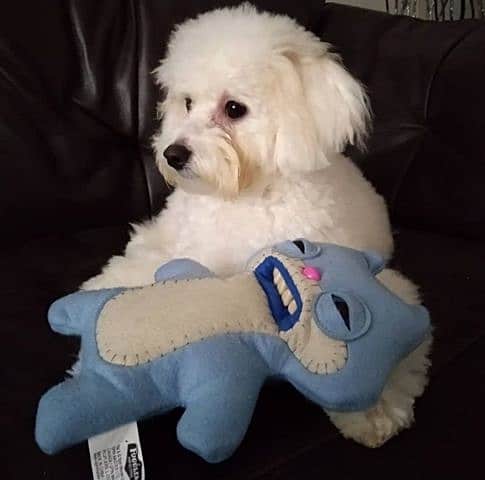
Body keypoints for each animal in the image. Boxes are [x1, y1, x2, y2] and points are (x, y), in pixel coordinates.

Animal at [81, 1, 430, 448]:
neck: (247, 197)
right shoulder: (189, 253)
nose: (173, 153)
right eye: (187, 103)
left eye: (234, 109)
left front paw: (375, 409)